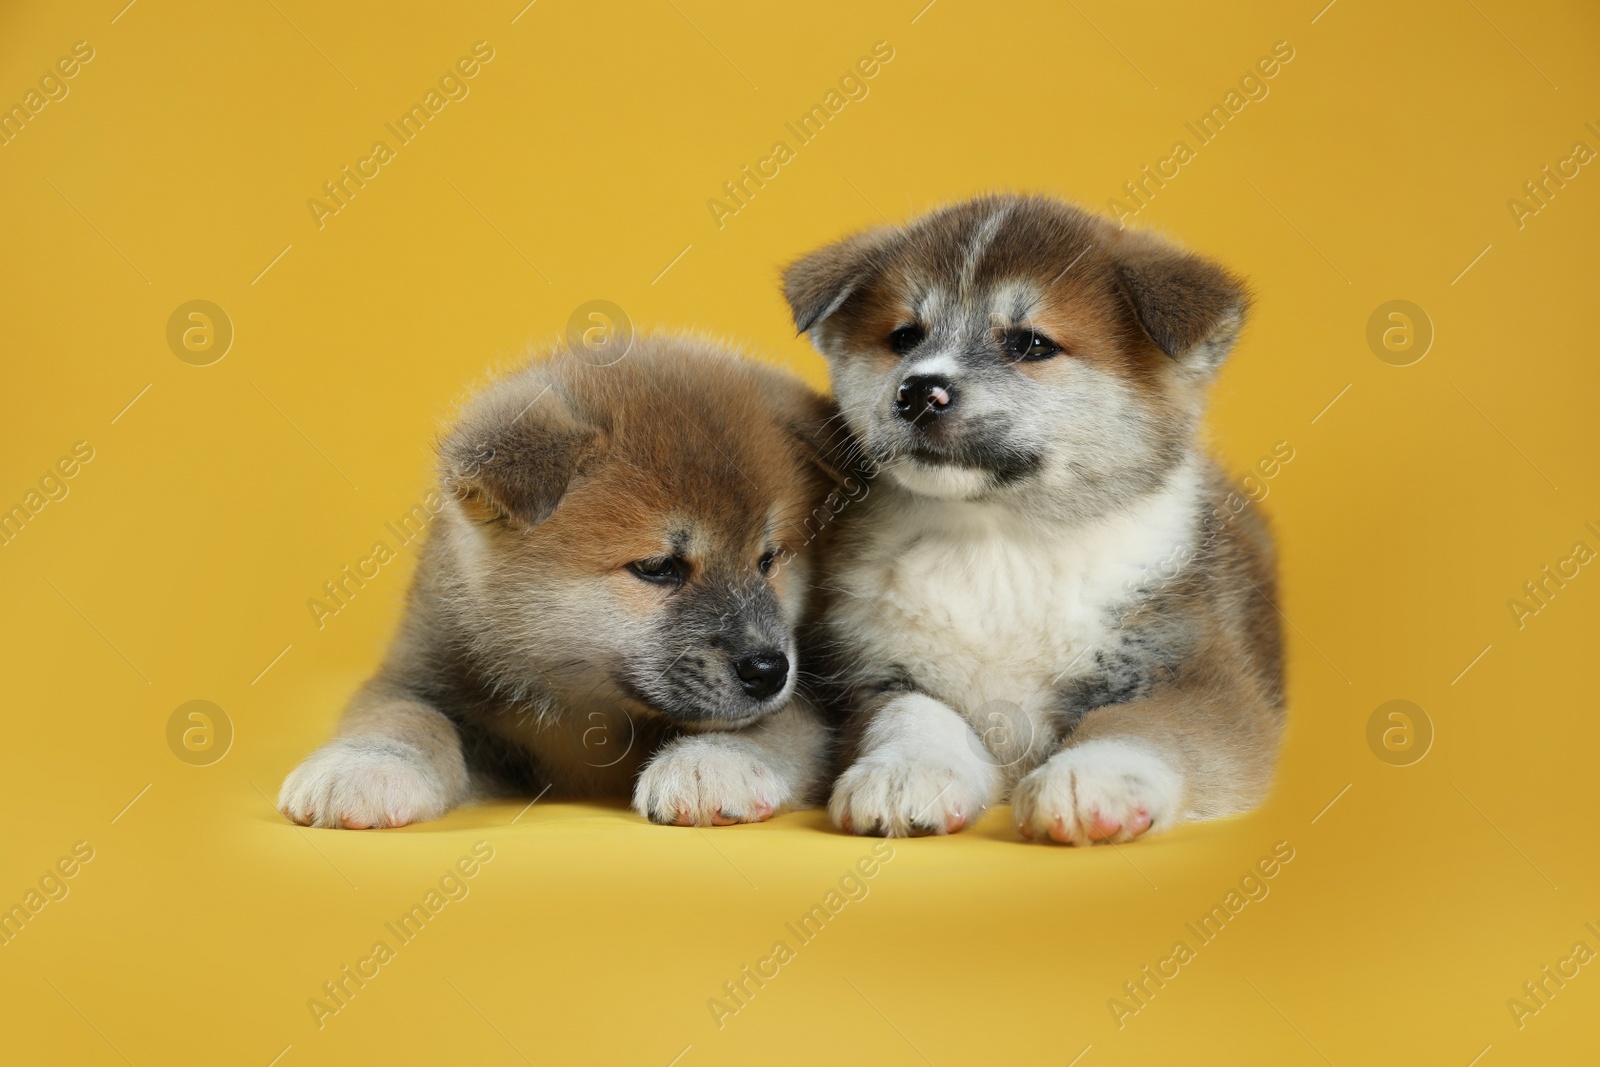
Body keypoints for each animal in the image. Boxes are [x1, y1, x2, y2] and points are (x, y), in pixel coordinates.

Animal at [276, 337, 844, 831]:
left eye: (769, 560)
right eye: (658, 567)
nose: (768, 670)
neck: (584, 705)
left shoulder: (815, 704)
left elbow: (774, 726)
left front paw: (715, 762)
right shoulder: (415, 675)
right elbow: (402, 717)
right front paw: (366, 766)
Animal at [787, 191, 1286, 844]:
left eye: (1030, 344)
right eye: (904, 337)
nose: (919, 391)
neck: (1001, 546)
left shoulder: (1197, 675)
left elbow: (1141, 725)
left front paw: (1089, 778)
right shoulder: (872, 675)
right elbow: (911, 714)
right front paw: (906, 770)